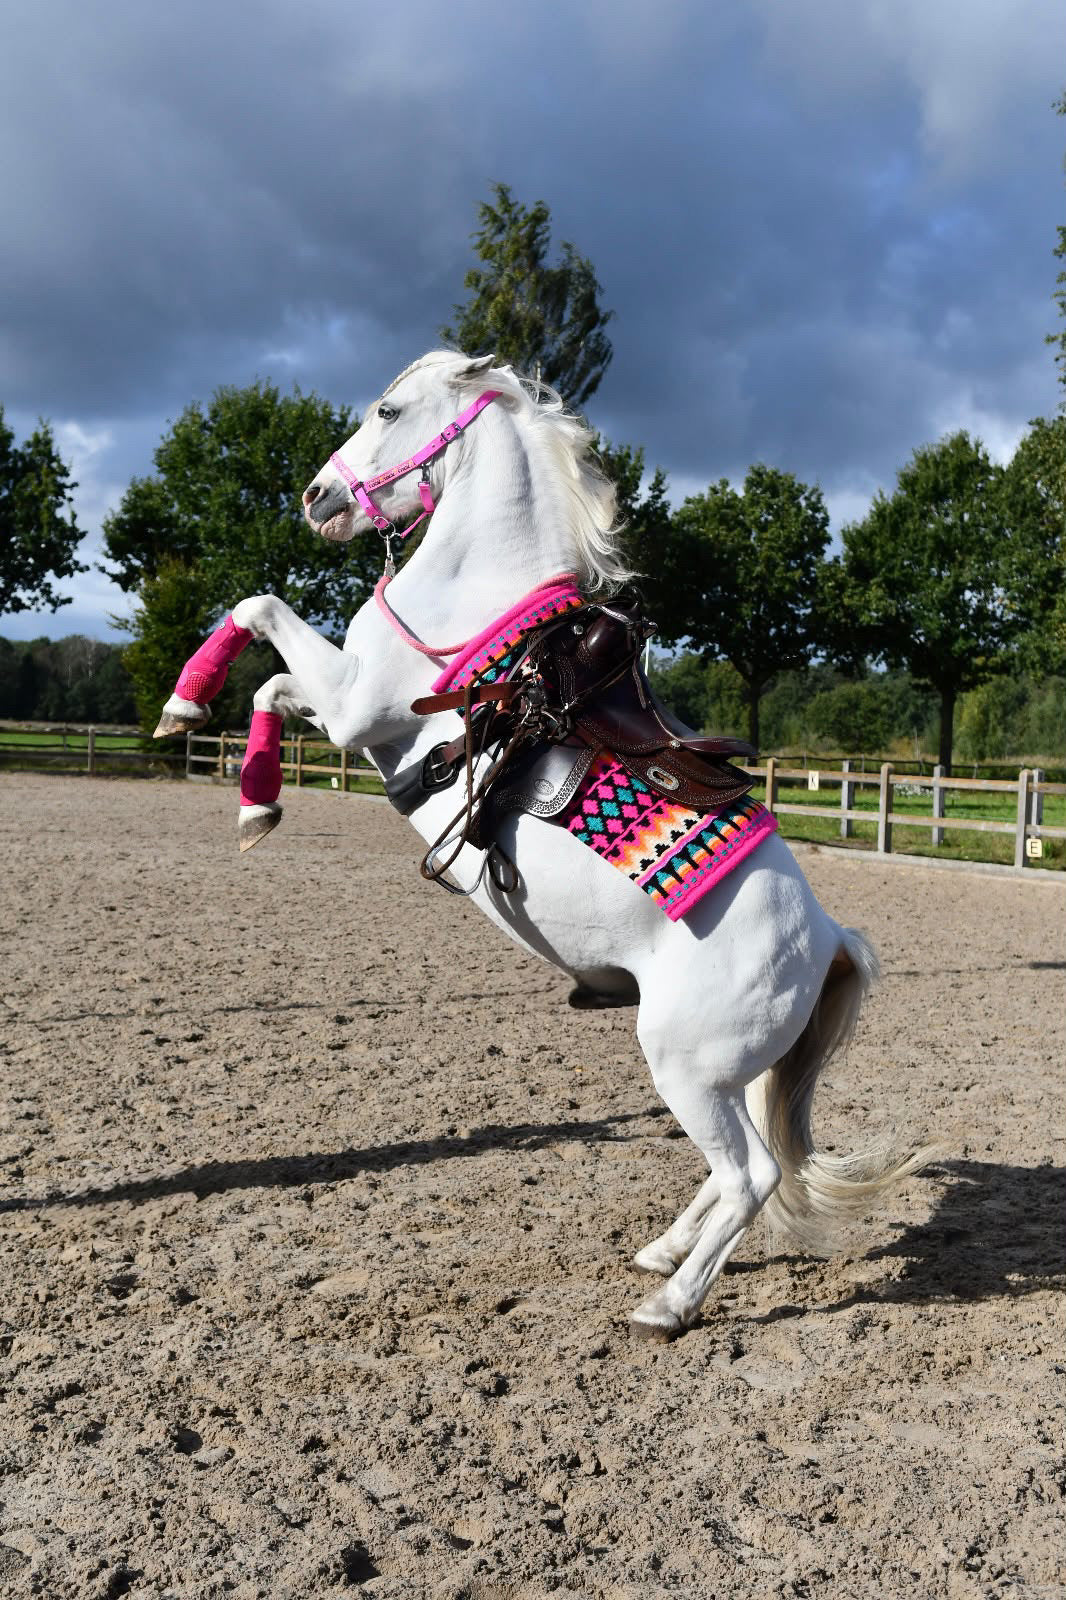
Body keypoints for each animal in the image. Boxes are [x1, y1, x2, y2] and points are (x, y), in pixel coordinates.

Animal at [156, 350, 931, 1341]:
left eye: (387, 409)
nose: (317, 496)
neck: (475, 600)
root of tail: (829, 942)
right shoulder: (345, 712)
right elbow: (269, 679)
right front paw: (246, 791)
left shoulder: (357, 708)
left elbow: (263, 616)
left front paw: (197, 720)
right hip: (721, 1080)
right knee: (733, 1172)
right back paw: (664, 1253)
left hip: (687, 1066)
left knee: (749, 1176)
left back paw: (669, 1304)